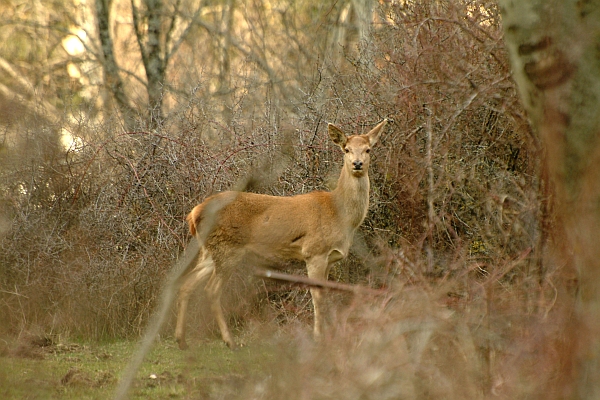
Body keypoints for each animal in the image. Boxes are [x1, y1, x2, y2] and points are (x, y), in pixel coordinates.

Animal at [173, 119, 390, 350]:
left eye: (368, 149)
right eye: (346, 149)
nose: (357, 163)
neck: (340, 214)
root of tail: (194, 213)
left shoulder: (330, 258)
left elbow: (326, 292)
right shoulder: (314, 252)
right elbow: (318, 295)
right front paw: (318, 338)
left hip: (209, 251)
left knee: (186, 284)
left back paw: (182, 340)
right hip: (227, 249)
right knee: (212, 290)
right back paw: (229, 340)